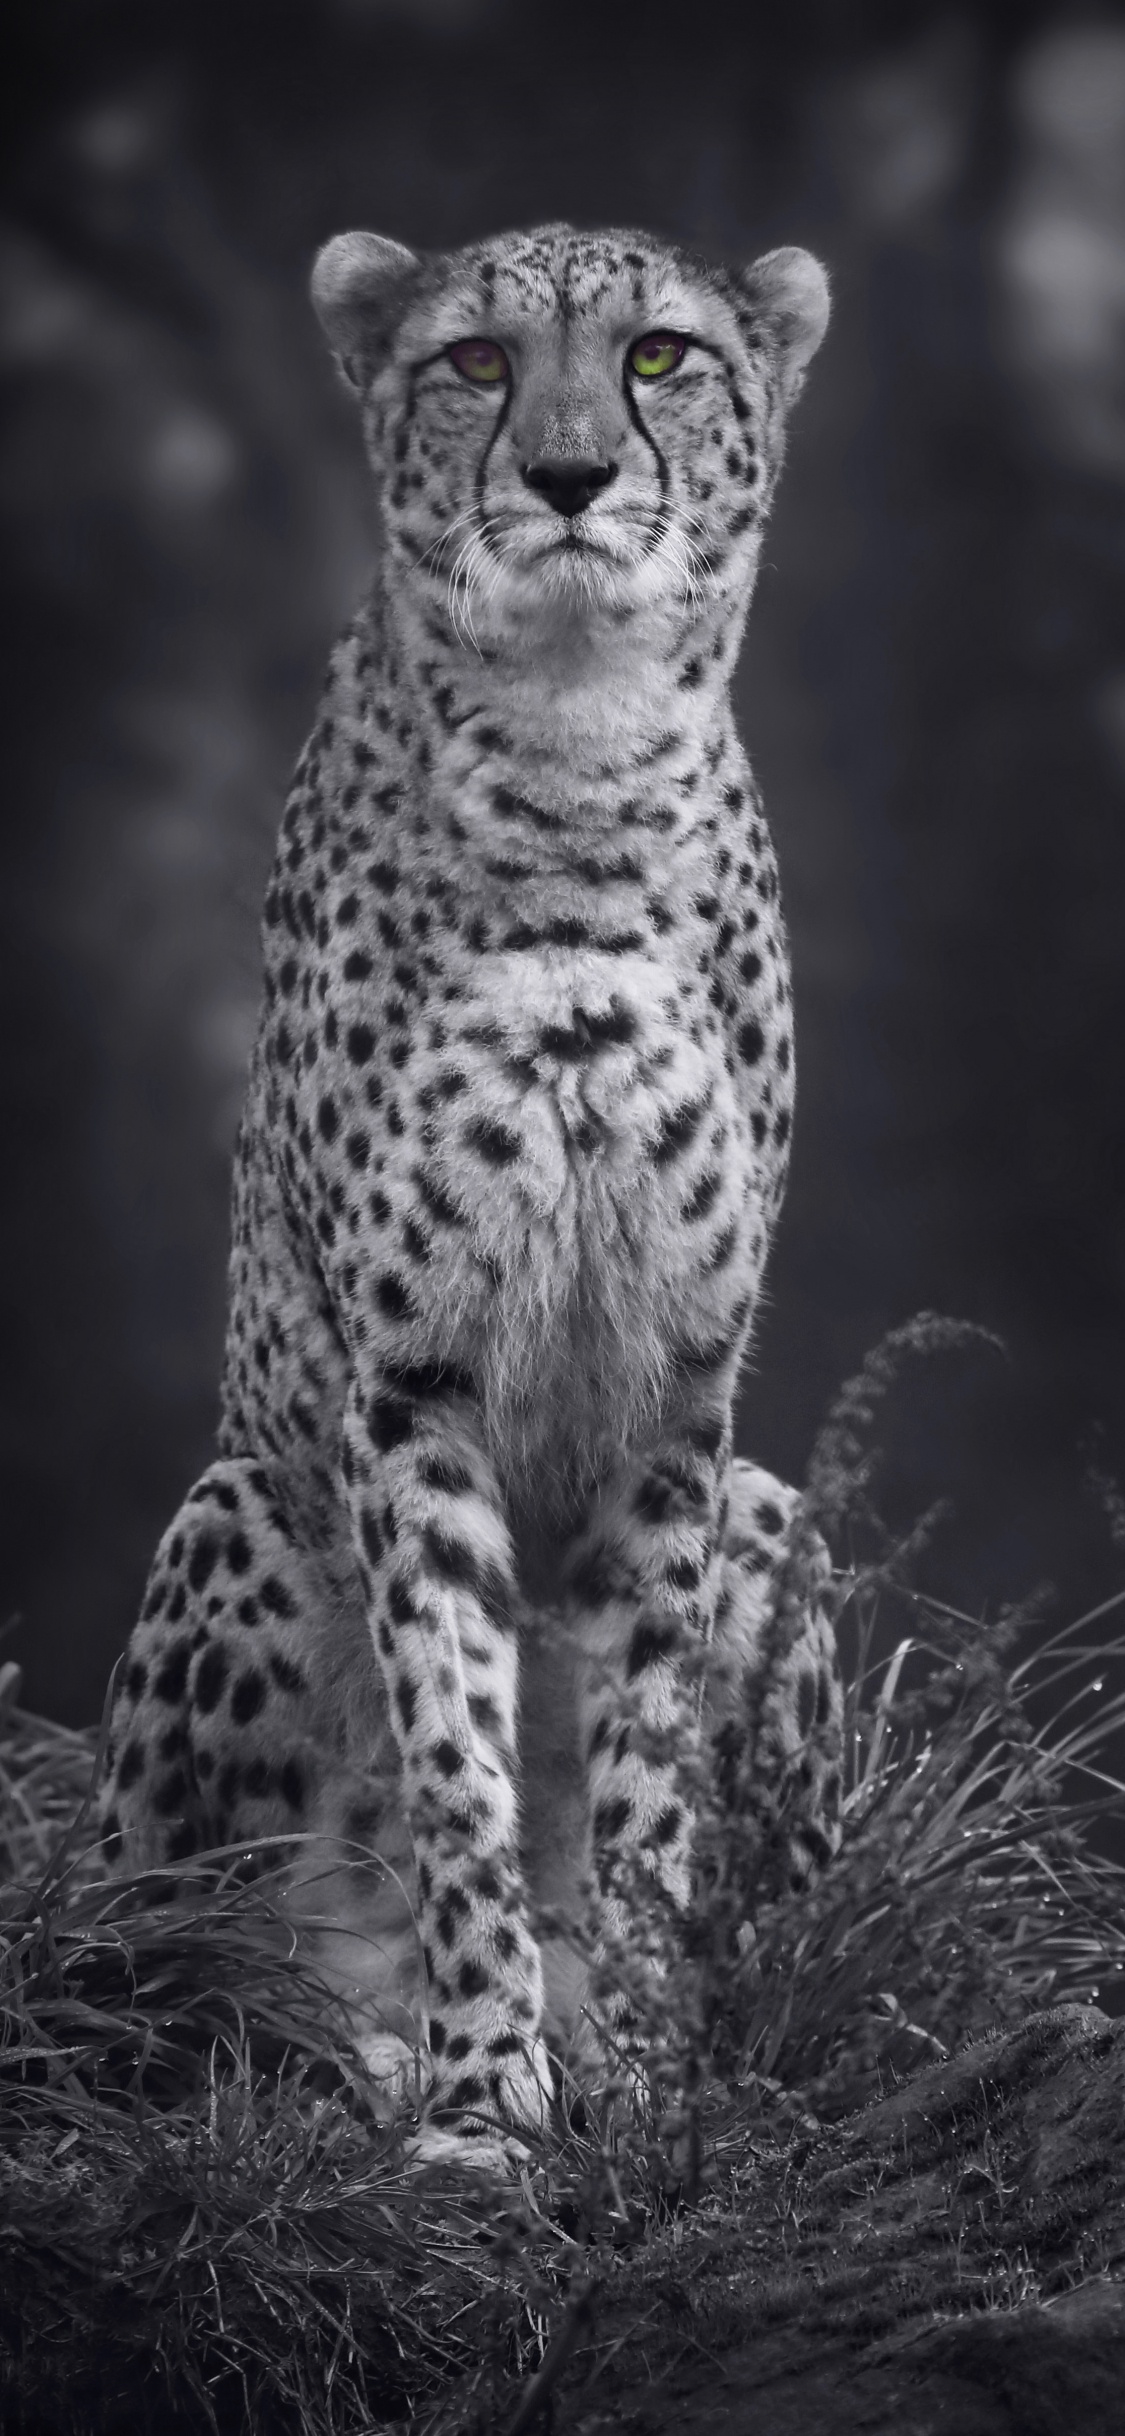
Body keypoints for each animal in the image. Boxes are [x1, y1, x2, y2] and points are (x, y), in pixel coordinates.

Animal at [98, 219, 842, 2144]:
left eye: (658, 357)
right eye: (478, 363)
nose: (568, 474)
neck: (579, 756)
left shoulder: (677, 1398)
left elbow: (642, 1780)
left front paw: (636, 2081)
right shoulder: (407, 1383)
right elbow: (453, 1755)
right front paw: (483, 2103)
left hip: (774, 1513)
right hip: (240, 1516)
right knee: (162, 1981)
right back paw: (359, 2039)